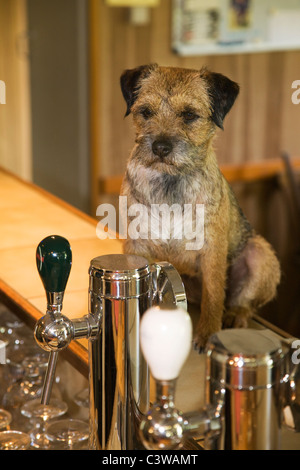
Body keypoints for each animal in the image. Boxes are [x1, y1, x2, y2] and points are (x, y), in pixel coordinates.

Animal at [118, 63, 280, 348]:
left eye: (189, 115)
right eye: (146, 112)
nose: (160, 147)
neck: (169, 181)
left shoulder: (212, 248)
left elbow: (214, 295)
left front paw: (207, 333)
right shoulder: (136, 245)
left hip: (260, 253)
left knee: (241, 302)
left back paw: (236, 314)